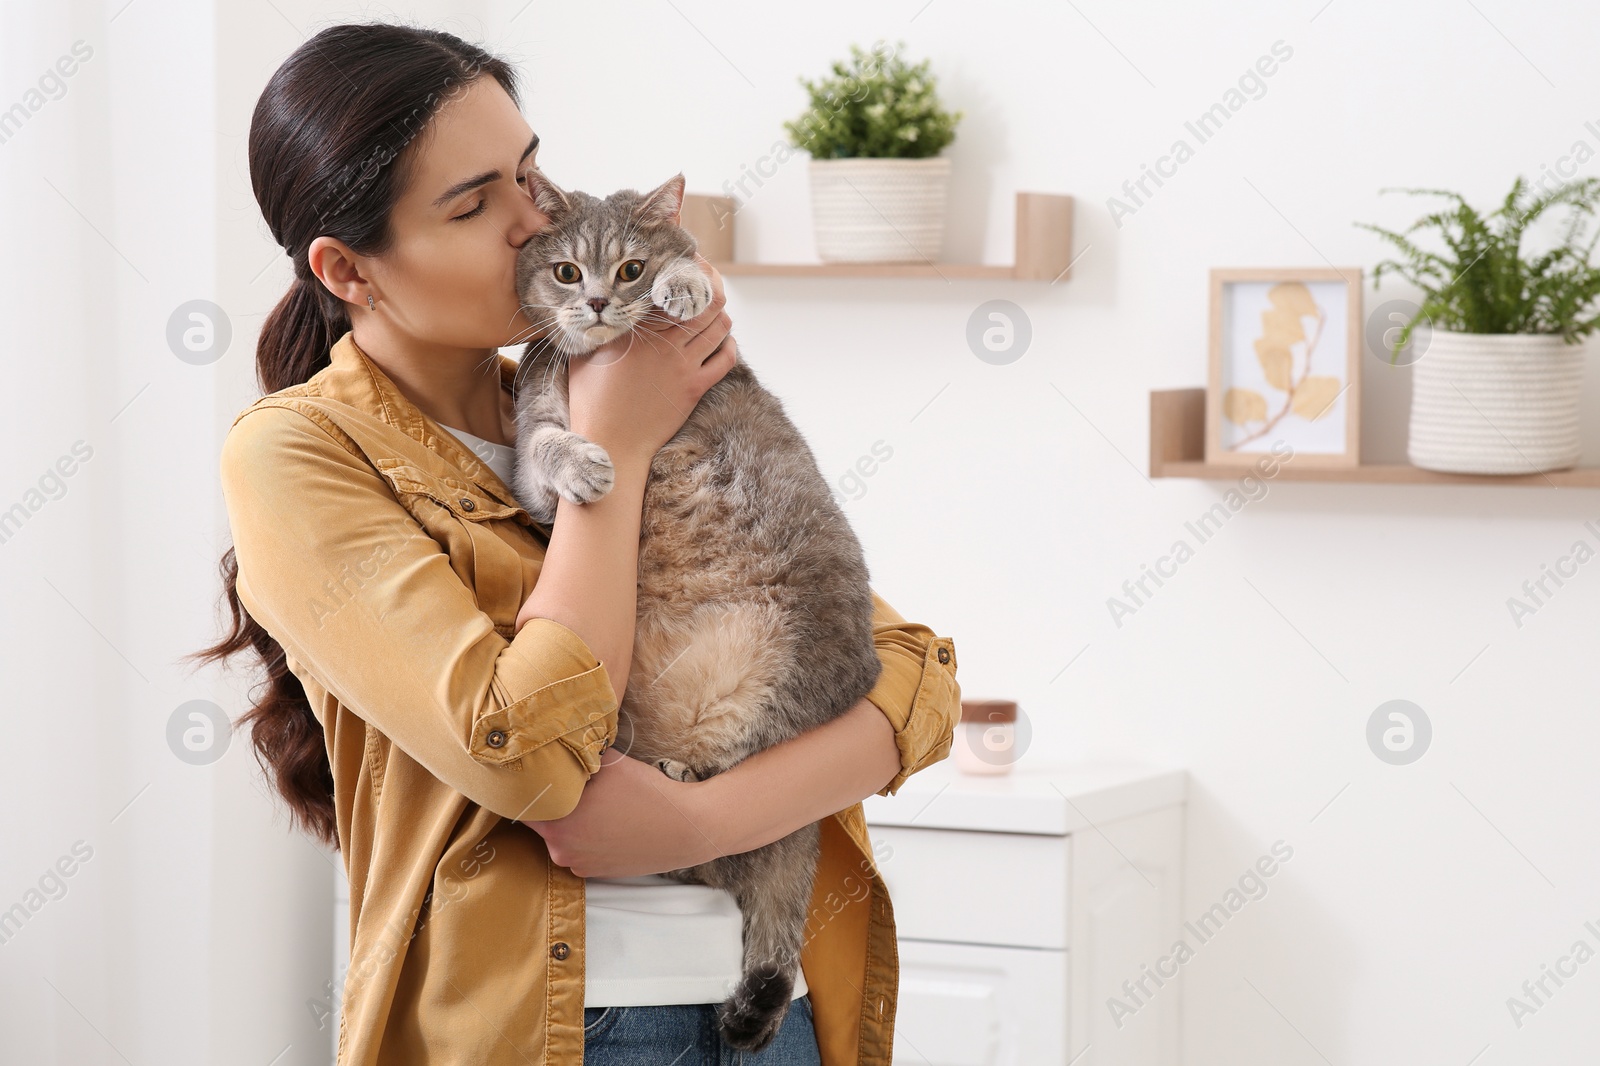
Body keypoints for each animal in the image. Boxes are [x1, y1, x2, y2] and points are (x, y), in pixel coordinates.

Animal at [512, 168, 883, 1043]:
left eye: (631, 268)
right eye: (567, 272)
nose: (600, 304)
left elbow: (697, 267)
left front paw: (683, 287)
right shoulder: (532, 459)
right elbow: (548, 446)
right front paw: (586, 464)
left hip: (786, 670)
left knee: (735, 793)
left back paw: (683, 769)